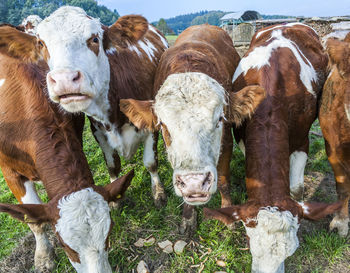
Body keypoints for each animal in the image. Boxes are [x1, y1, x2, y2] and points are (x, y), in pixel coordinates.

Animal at [0, 5, 168, 206]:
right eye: (41, 43)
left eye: (95, 39)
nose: (64, 79)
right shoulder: (99, 131)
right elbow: (112, 166)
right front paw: (115, 201)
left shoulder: (150, 122)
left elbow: (151, 162)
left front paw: (158, 193)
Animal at [119, 24, 264, 231]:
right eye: (163, 125)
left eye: (219, 119)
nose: (194, 183)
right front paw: (188, 216)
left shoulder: (226, 142)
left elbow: (223, 180)